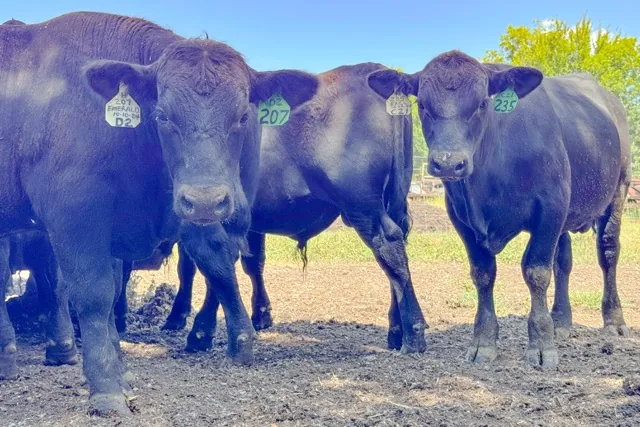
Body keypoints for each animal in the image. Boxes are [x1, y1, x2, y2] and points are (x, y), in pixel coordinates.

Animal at [0, 11, 317, 416]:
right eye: (163, 116)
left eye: (243, 115)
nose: (204, 200)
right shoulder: (73, 214)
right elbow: (94, 294)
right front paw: (106, 388)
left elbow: (115, 295)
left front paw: (120, 374)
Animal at [158, 63, 428, 354]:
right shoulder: (249, 222)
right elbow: (251, 262)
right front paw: (261, 315)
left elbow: (200, 266)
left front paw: (189, 324)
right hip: (390, 202)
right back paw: (396, 330)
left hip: (363, 205)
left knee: (389, 248)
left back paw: (413, 334)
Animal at [367, 51, 631, 368]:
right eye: (423, 105)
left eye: (482, 103)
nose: (448, 163)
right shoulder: (461, 217)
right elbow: (483, 274)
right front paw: (483, 342)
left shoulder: (551, 207)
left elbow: (536, 271)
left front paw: (541, 344)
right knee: (563, 260)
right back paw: (561, 321)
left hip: (618, 188)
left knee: (608, 252)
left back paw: (614, 320)